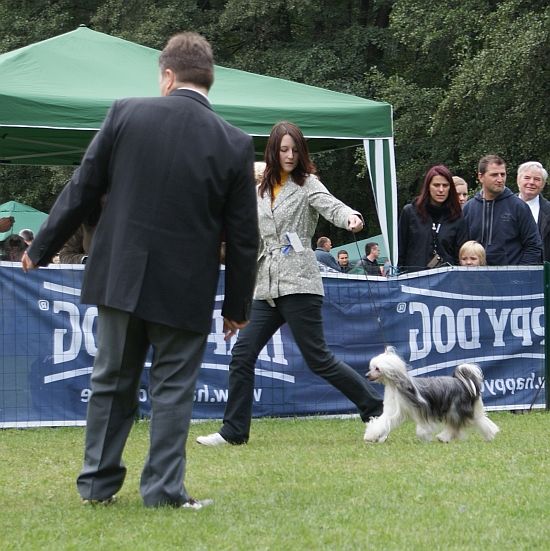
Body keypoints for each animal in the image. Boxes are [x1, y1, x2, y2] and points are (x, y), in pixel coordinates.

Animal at [364, 347, 499, 443]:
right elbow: (382, 422)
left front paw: (424, 435)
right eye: (371, 367)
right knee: (479, 419)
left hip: (454, 409)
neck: (397, 385)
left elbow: (423, 426)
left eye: (377, 368)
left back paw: (443, 437)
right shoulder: (394, 411)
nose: (366, 375)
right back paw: (490, 434)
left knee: (454, 425)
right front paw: (371, 436)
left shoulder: (422, 409)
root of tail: (461, 382)